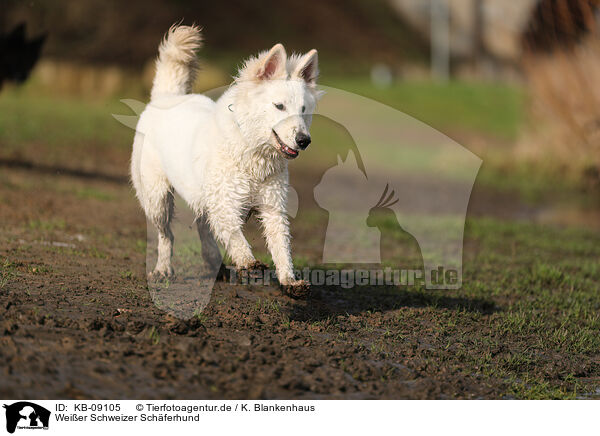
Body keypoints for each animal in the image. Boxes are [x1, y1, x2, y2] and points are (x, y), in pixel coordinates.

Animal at [129, 24, 322, 296]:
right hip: (157, 199)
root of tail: (165, 97)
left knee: (203, 227)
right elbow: (236, 237)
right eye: (279, 106)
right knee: (166, 235)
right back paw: (163, 269)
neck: (252, 152)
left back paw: (214, 263)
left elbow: (281, 247)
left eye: (303, 109)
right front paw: (249, 263)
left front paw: (289, 281)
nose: (304, 140)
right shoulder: (224, 204)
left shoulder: (273, 207)